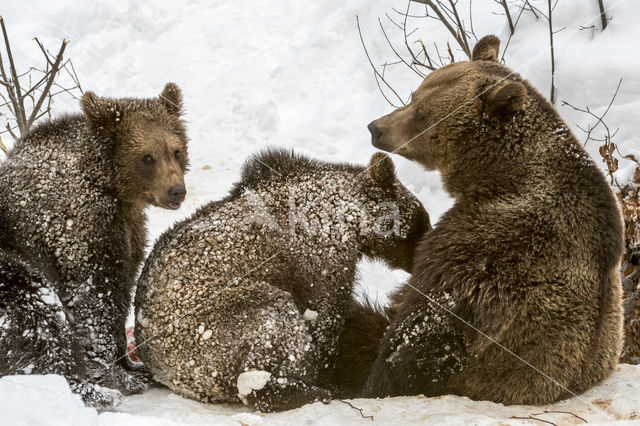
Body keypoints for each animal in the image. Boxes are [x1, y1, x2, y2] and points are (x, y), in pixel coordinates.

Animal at [0, 82, 189, 406]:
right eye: (147, 157)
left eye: (176, 151)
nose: (177, 191)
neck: (113, 188)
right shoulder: (75, 229)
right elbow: (94, 300)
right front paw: (118, 375)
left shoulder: (127, 232)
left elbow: (120, 289)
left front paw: (131, 365)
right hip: (10, 270)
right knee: (36, 316)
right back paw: (90, 391)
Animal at [134, 150, 430, 412]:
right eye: (421, 219)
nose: (421, 257)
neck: (350, 218)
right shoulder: (320, 255)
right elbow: (323, 317)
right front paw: (328, 379)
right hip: (206, 329)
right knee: (271, 319)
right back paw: (300, 391)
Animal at [358, 35, 628, 404]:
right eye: (414, 95)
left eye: (423, 115)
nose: (376, 128)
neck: (501, 175)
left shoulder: (493, 248)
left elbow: (419, 330)